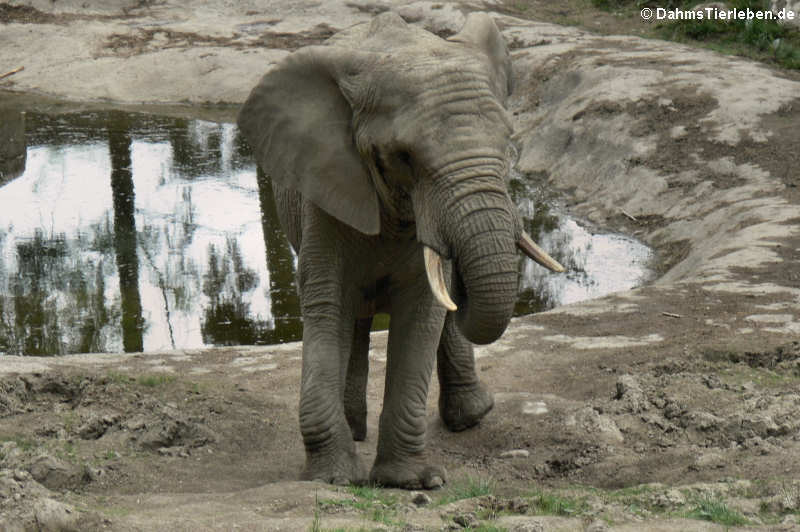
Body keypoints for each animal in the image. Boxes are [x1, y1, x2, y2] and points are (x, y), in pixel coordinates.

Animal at [238, 10, 564, 490]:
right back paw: (357, 428)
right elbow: (327, 303)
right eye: (404, 156)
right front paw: (334, 478)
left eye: (509, 143)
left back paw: (470, 417)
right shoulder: (325, 189)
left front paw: (411, 481)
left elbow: (423, 310)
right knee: (352, 318)